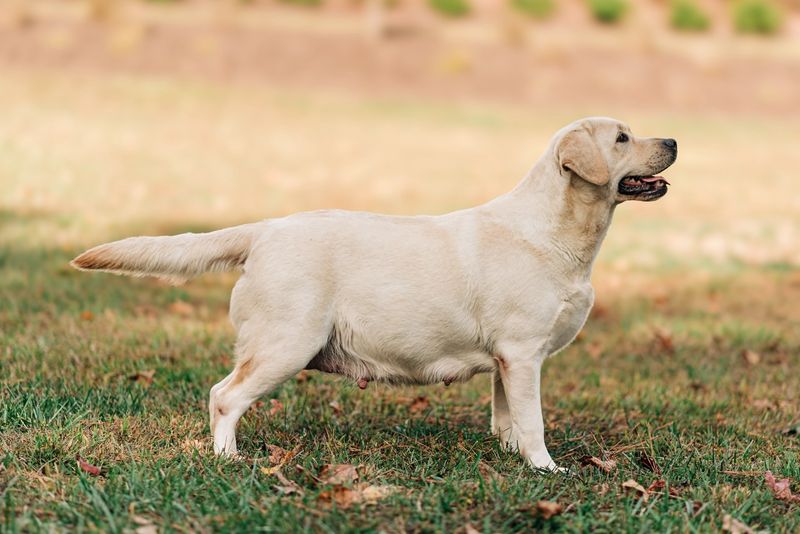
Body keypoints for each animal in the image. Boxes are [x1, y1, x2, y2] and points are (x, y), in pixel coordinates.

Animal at [73, 117, 676, 474]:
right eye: (622, 138)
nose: (673, 140)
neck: (555, 230)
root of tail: (263, 230)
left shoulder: (509, 360)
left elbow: (507, 418)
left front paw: (513, 460)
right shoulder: (525, 353)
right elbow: (534, 421)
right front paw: (546, 469)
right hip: (284, 344)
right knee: (224, 396)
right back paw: (230, 459)